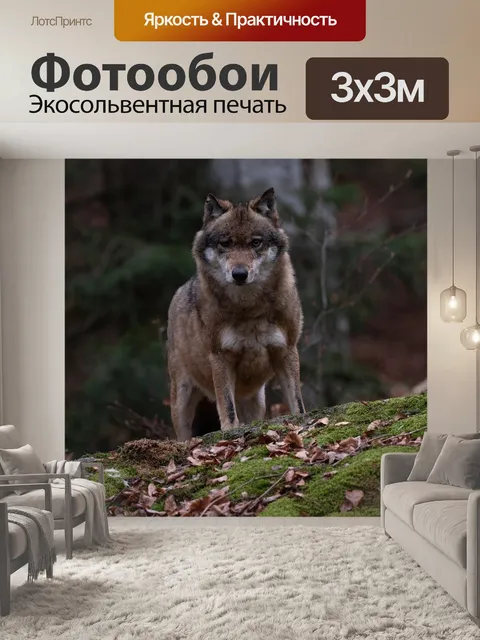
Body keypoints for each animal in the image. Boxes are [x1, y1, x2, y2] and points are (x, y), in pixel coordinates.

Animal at [167, 187, 305, 441]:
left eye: (255, 243)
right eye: (225, 243)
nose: (239, 274)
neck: (249, 310)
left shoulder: (287, 350)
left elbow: (297, 404)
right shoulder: (221, 357)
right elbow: (227, 408)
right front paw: (231, 432)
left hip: (256, 401)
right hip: (181, 398)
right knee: (183, 435)